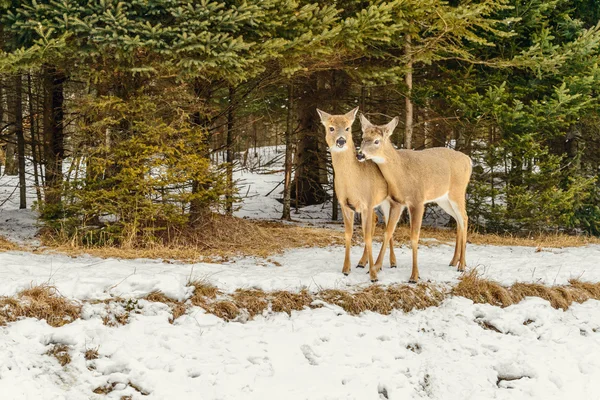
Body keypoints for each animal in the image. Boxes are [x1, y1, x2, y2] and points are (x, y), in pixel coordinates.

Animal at [314, 106, 404, 282]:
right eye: (331, 128)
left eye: (348, 128)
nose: (341, 141)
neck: (354, 181)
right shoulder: (345, 204)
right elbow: (349, 234)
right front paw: (346, 269)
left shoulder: (367, 203)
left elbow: (367, 235)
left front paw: (373, 276)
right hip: (378, 203)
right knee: (379, 222)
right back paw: (364, 262)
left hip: (389, 201)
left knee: (389, 226)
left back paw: (391, 262)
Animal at [356, 115, 474, 282]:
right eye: (363, 138)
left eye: (376, 141)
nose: (360, 154)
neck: (401, 173)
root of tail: (469, 160)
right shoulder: (397, 202)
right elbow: (388, 232)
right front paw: (376, 267)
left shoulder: (417, 201)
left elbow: (414, 237)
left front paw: (414, 276)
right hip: (443, 199)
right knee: (459, 219)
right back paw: (454, 261)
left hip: (457, 191)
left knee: (464, 217)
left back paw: (462, 265)